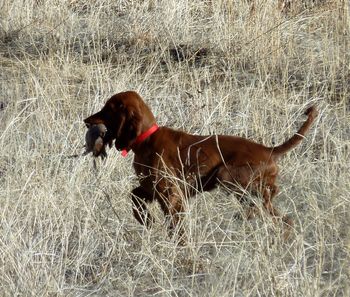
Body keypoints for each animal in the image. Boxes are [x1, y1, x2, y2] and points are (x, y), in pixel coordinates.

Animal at [84, 89, 318, 238]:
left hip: (226, 175)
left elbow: (175, 225)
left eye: (108, 109)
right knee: (278, 213)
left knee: (266, 198)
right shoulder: (151, 187)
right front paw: (146, 219)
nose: (86, 121)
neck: (146, 139)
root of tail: (269, 150)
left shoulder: (171, 193)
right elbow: (134, 195)